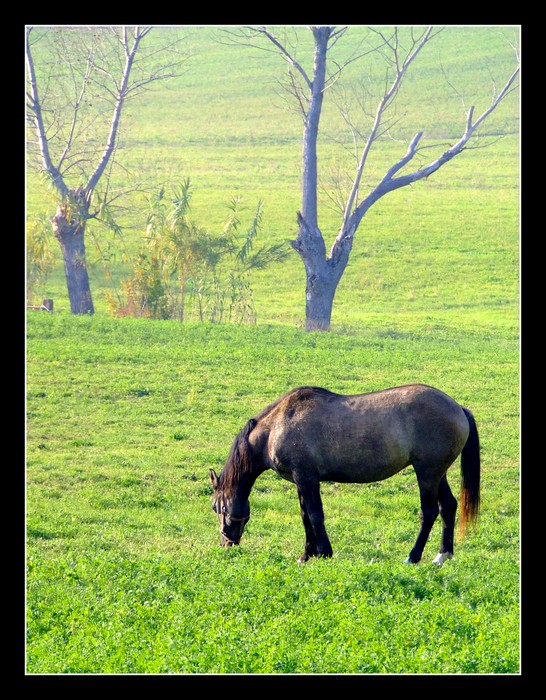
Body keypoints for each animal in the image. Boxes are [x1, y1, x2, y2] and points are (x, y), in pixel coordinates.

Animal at [209, 383, 480, 566]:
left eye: (215, 507)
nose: (226, 543)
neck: (276, 426)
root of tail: (458, 408)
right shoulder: (299, 481)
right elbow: (305, 517)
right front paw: (306, 554)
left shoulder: (307, 478)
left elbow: (315, 515)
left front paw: (324, 552)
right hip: (437, 474)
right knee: (448, 506)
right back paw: (442, 555)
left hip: (426, 473)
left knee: (430, 512)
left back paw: (412, 557)